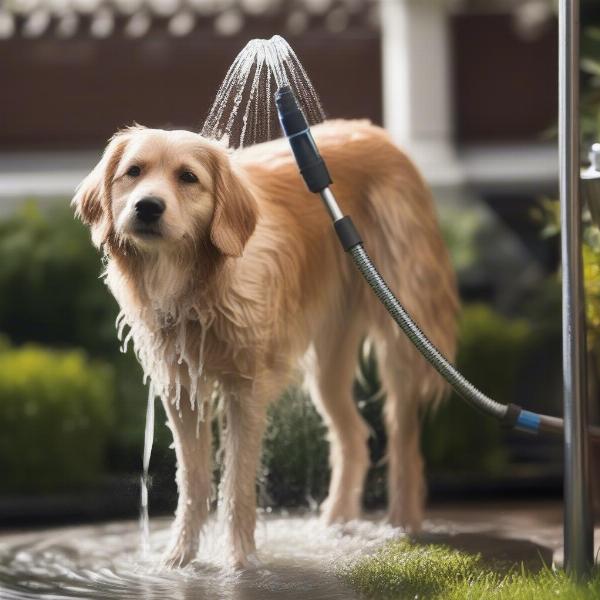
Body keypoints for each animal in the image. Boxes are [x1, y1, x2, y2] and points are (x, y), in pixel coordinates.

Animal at [74, 119, 460, 568]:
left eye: (187, 177)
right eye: (133, 172)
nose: (148, 207)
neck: (193, 282)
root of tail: (378, 134)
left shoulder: (247, 389)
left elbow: (238, 482)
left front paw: (240, 561)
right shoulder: (182, 389)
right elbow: (193, 479)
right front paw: (180, 557)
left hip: (401, 330)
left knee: (401, 435)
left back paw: (402, 525)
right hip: (329, 360)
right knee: (353, 436)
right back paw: (335, 524)